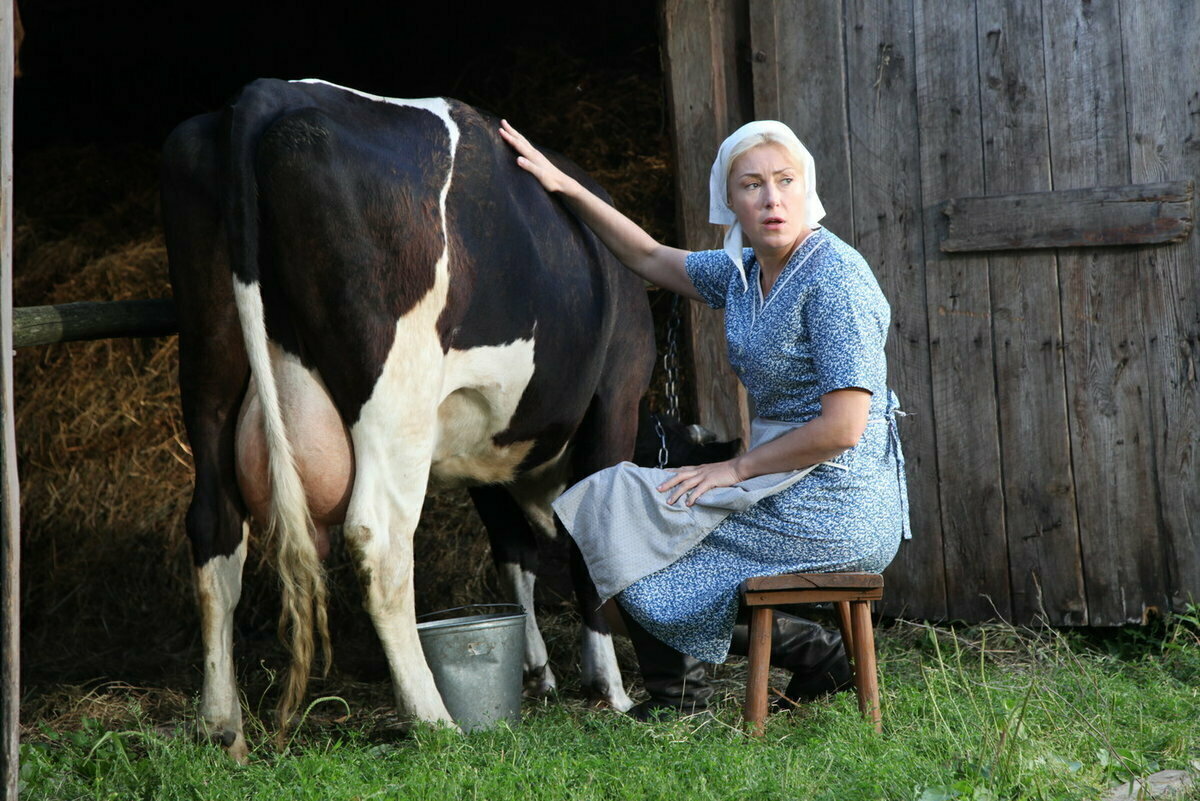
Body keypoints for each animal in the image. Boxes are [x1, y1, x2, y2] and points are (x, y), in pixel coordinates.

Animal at [162, 76, 657, 757]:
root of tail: (270, 92)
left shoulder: (484, 452)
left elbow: (515, 553)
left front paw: (539, 672)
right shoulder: (616, 399)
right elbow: (591, 552)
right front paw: (610, 689)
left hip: (207, 364)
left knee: (214, 526)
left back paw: (221, 726)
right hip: (395, 392)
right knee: (379, 538)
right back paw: (433, 718)